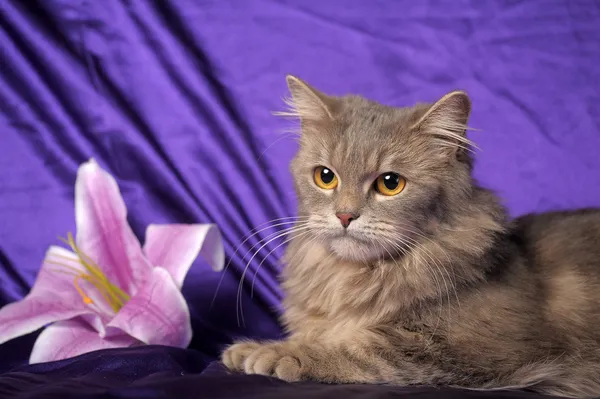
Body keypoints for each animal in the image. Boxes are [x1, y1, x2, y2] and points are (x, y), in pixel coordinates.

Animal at [221, 76, 600, 398]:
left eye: (391, 184)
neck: (352, 278)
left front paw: (271, 352)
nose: (344, 215)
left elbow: (356, 347)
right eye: (325, 177)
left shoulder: (472, 349)